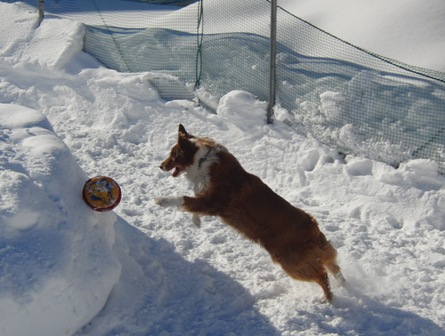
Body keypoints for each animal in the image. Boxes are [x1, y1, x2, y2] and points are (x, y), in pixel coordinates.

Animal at [155, 124, 344, 302]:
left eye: (173, 155)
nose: (160, 166)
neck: (201, 160)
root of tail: (313, 227)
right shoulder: (208, 202)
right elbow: (194, 204)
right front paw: (196, 221)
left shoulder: (215, 202)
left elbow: (184, 199)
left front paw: (162, 200)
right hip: (312, 256)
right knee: (334, 267)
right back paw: (344, 285)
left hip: (292, 262)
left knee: (322, 275)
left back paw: (328, 299)